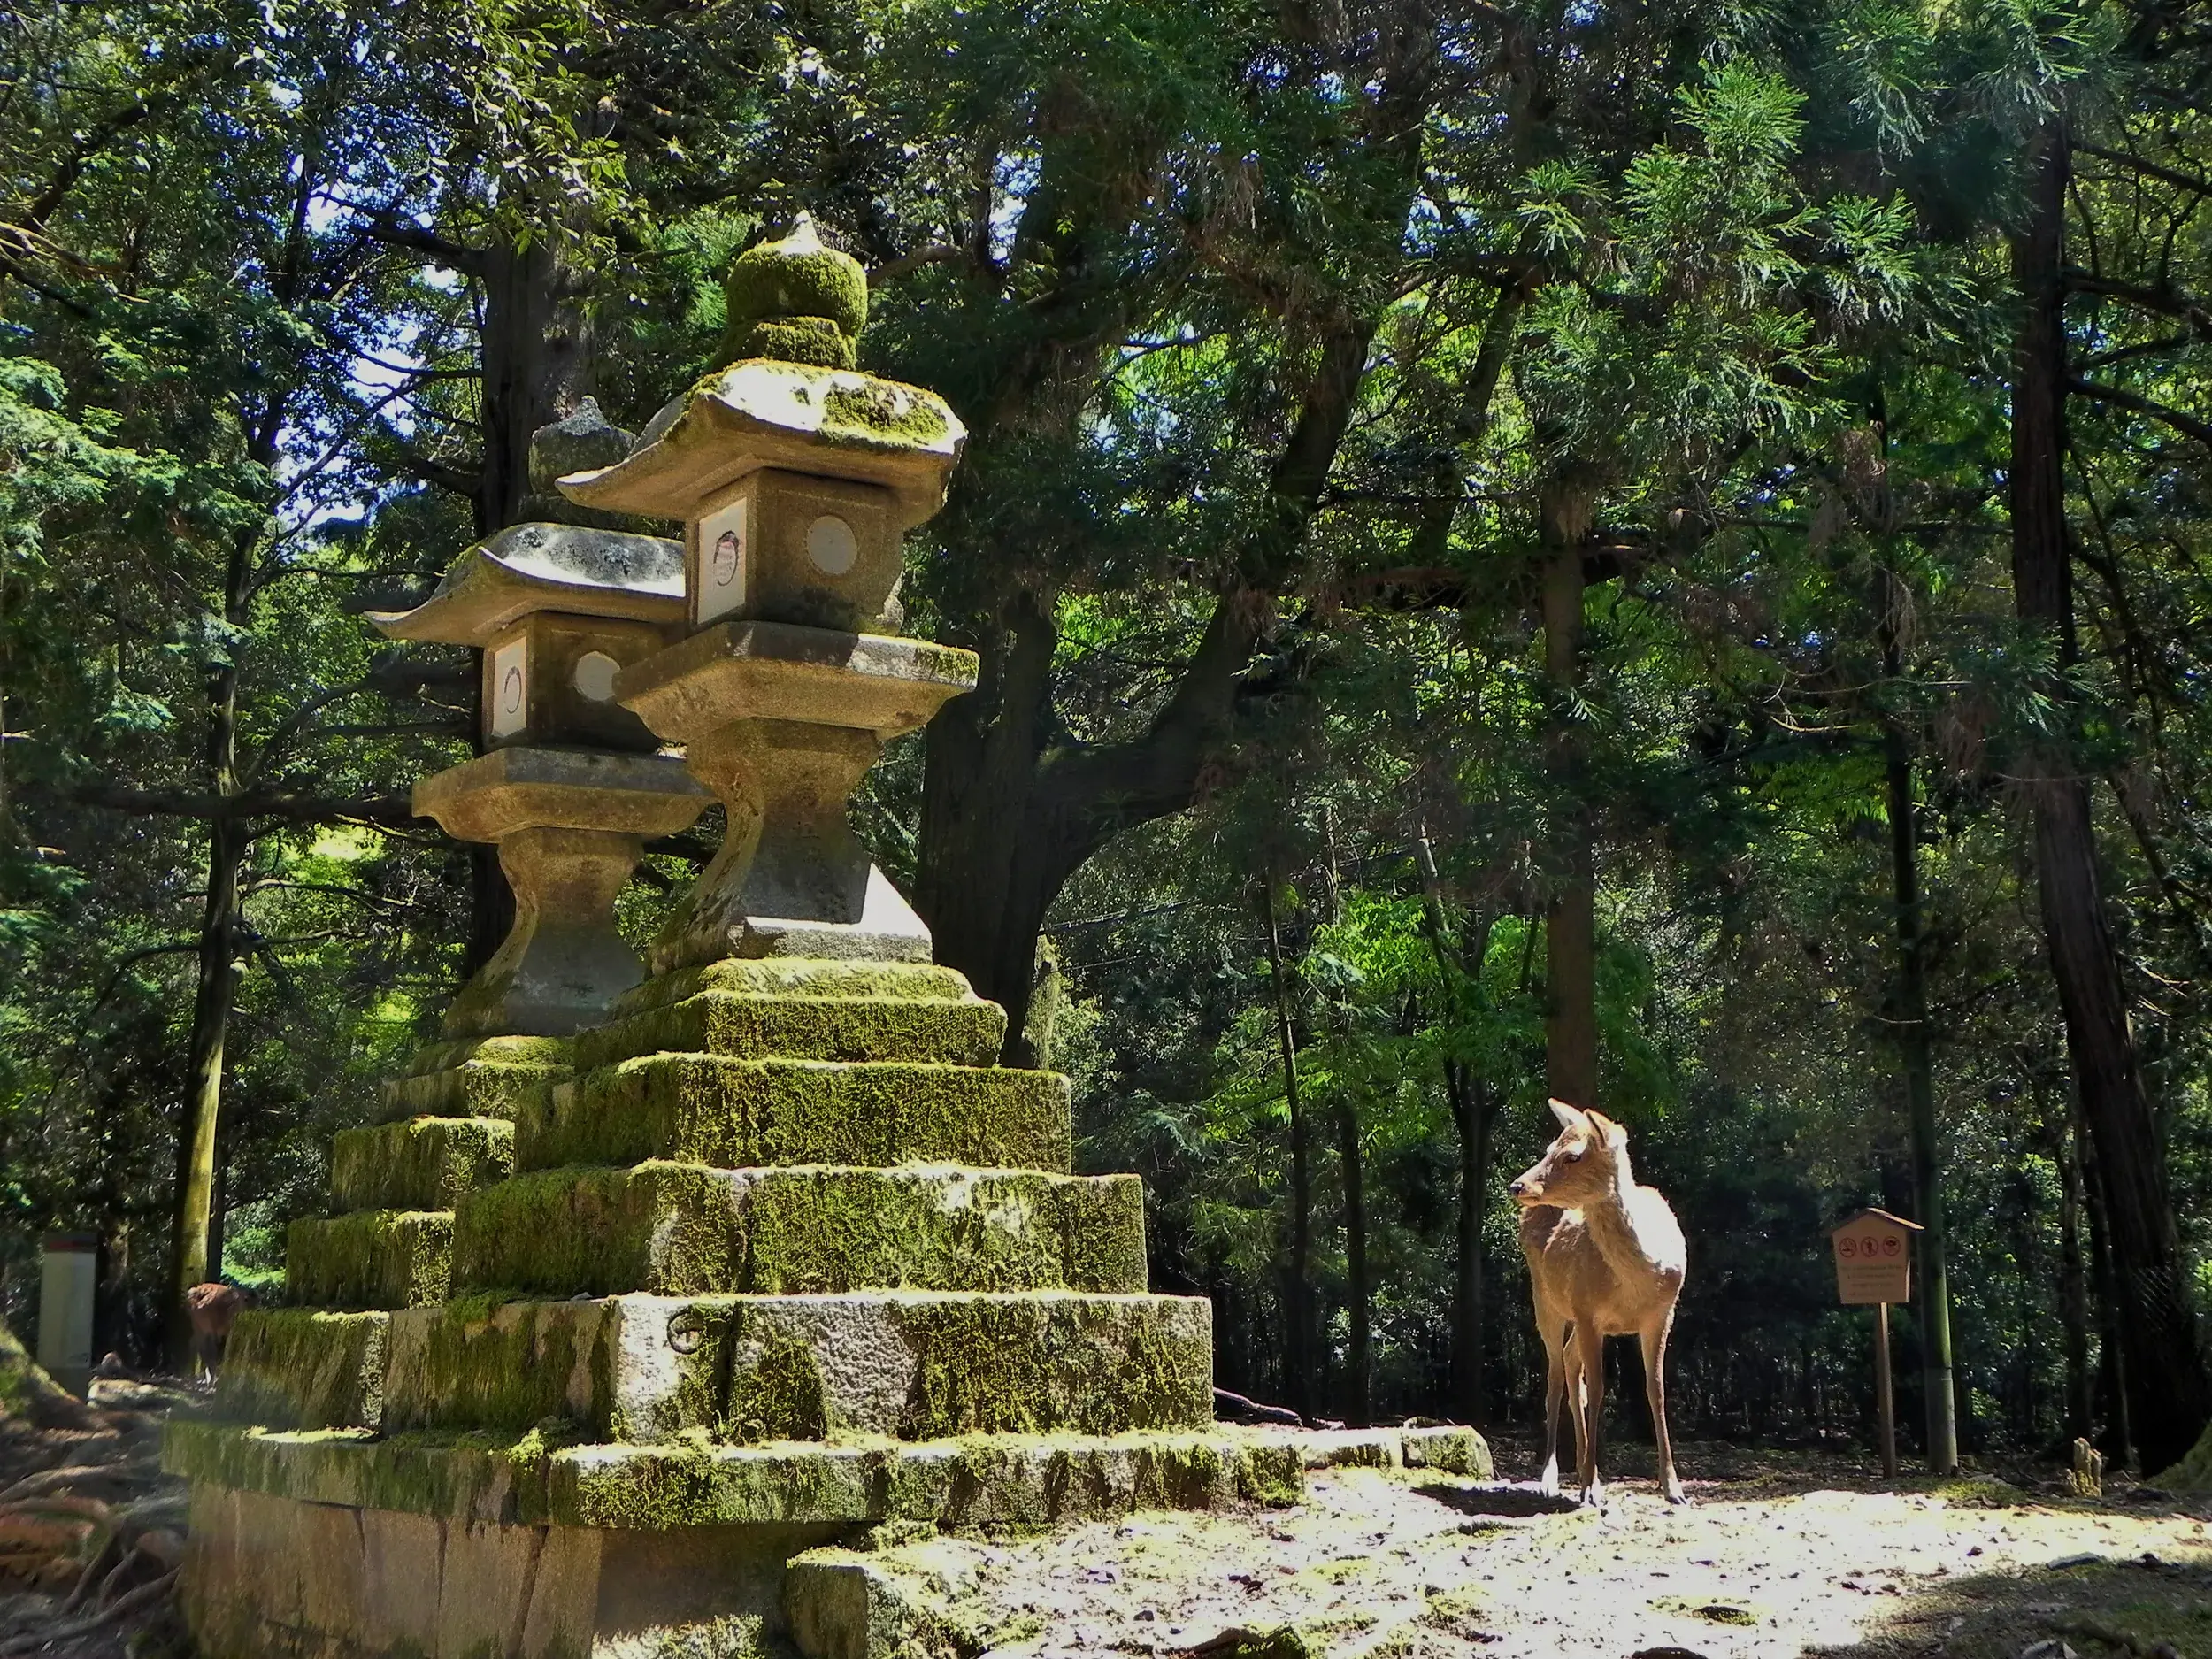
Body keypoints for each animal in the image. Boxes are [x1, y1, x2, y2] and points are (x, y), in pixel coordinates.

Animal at [1509, 1098, 1687, 1507]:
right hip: (1546, 1299)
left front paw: (1674, 1488)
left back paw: (1581, 1471)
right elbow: (1601, 1387)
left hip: (1574, 1314)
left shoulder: (1663, 1312)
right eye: (1548, 1149)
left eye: (1572, 1155)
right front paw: (1591, 1488)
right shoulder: (1589, 1312)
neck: (1639, 1280)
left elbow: (1656, 1389)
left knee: (1570, 1363)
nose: (1517, 1185)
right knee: (1555, 1376)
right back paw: (1553, 1478)